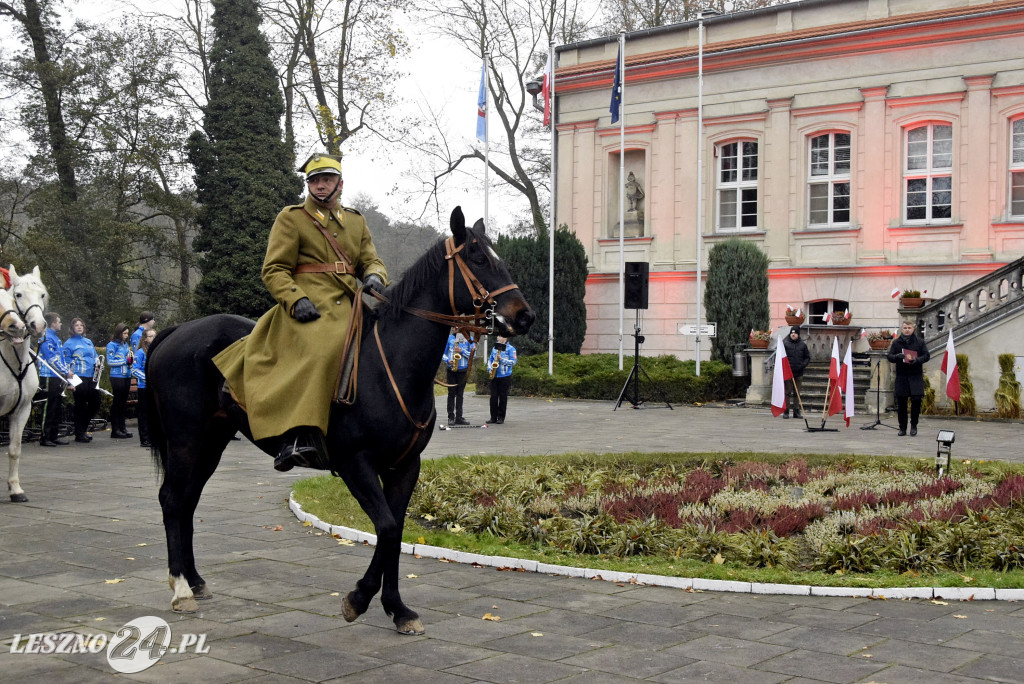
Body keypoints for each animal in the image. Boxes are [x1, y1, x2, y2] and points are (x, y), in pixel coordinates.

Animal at [149, 205, 536, 634]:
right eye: (478, 257)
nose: (525, 316)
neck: (390, 366)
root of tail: (177, 331)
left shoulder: (405, 466)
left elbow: (395, 531)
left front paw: (397, 608)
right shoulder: (355, 464)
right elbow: (386, 529)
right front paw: (359, 598)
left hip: (212, 440)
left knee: (187, 501)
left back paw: (195, 581)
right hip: (186, 439)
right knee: (172, 499)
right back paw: (181, 589)